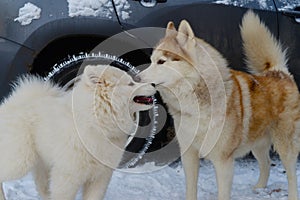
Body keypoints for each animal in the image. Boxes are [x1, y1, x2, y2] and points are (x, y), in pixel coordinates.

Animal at [0, 65, 155, 199]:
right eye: (130, 83)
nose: (154, 84)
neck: (96, 124)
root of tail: (13, 101)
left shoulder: (101, 176)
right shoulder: (67, 176)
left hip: (41, 163)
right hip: (20, 160)